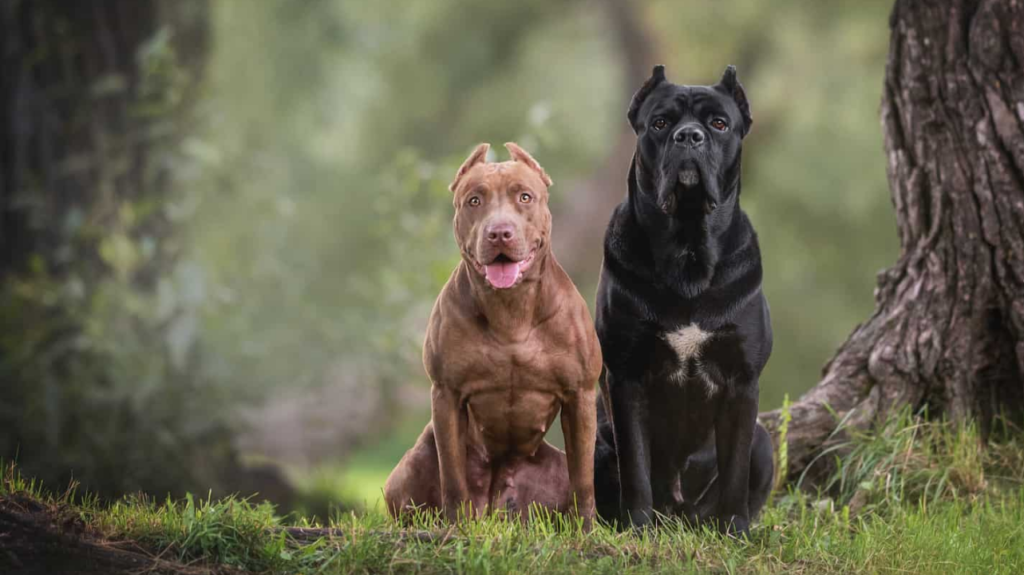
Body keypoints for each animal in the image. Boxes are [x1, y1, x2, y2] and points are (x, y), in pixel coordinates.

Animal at [387, 142, 602, 523]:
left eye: (525, 197)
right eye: (474, 200)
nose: (499, 232)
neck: (510, 310)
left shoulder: (581, 395)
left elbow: (583, 478)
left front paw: (586, 530)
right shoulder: (447, 394)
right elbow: (452, 474)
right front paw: (455, 527)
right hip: (411, 465)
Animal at [598, 64, 770, 536]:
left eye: (719, 124)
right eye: (659, 123)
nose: (689, 137)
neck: (688, 248)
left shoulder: (741, 380)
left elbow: (734, 468)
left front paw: (735, 528)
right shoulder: (627, 377)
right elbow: (636, 464)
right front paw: (637, 525)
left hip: (765, 442)